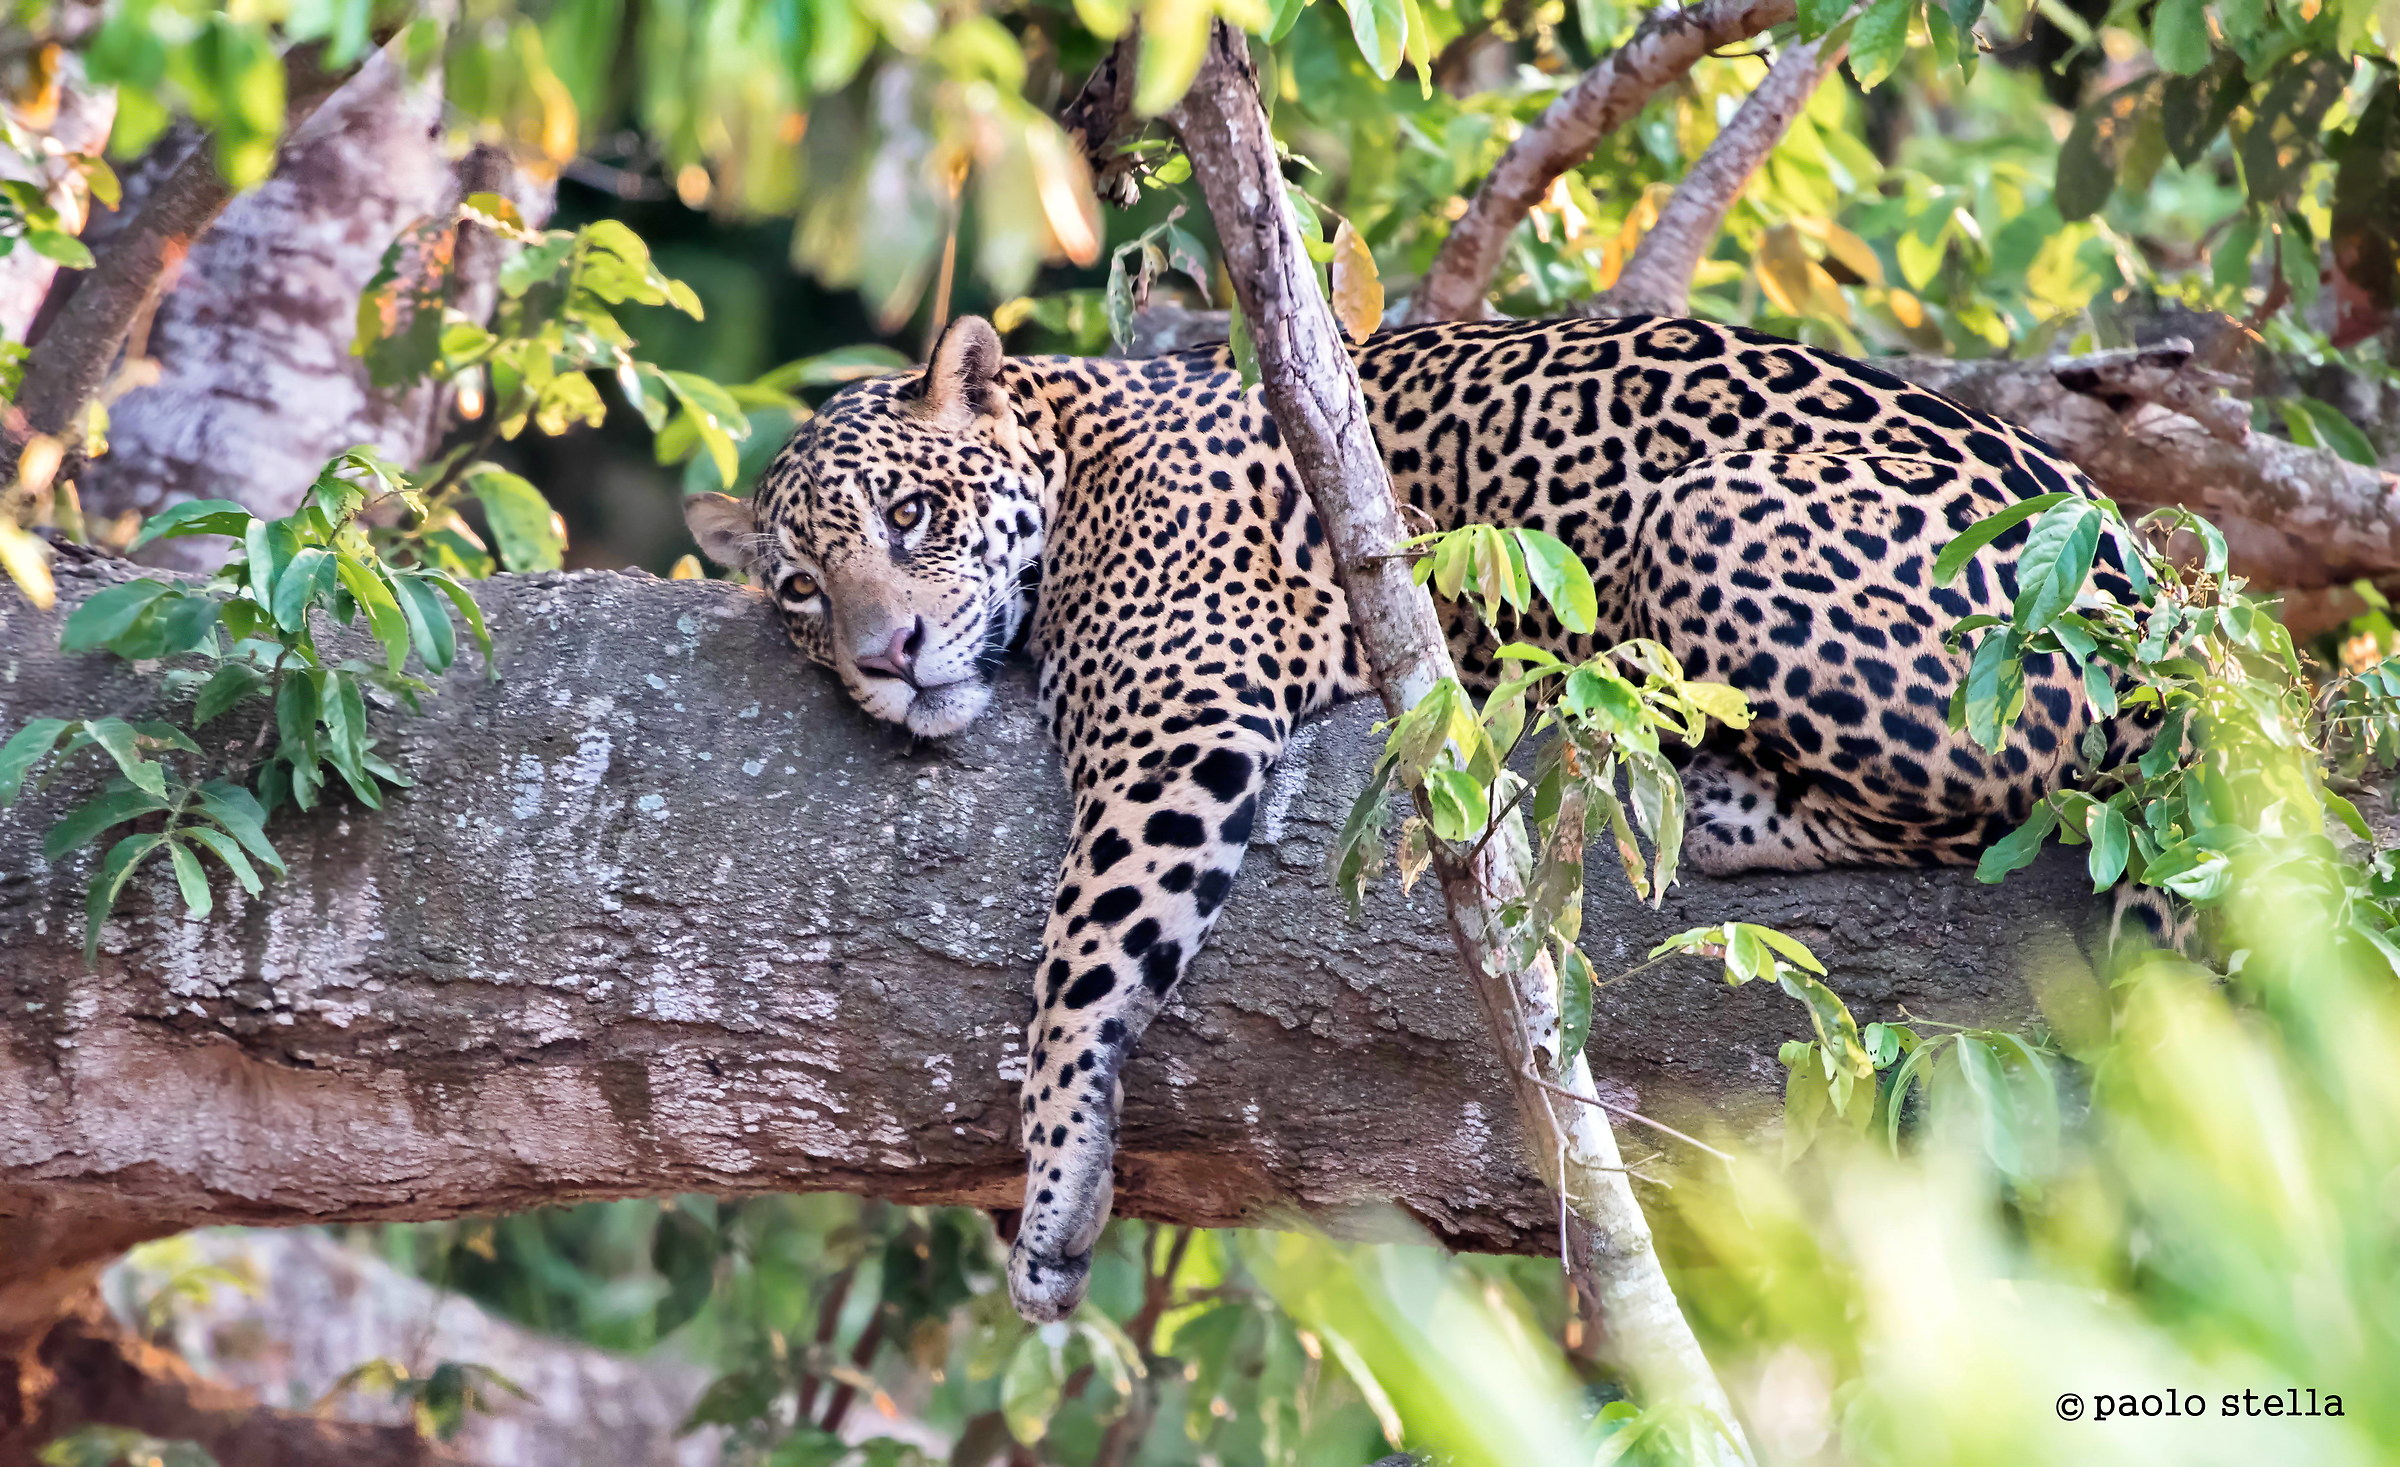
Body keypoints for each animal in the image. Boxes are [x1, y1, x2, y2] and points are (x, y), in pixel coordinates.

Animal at [685, 311, 2123, 1324]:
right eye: (802, 590)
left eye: (912, 513)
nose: (887, 655)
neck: (1073, 444)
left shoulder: (1175, 730)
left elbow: (1080, 972)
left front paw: (1055, 1188)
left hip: (1712, 515)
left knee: (2001, 796)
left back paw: (1718, 796)